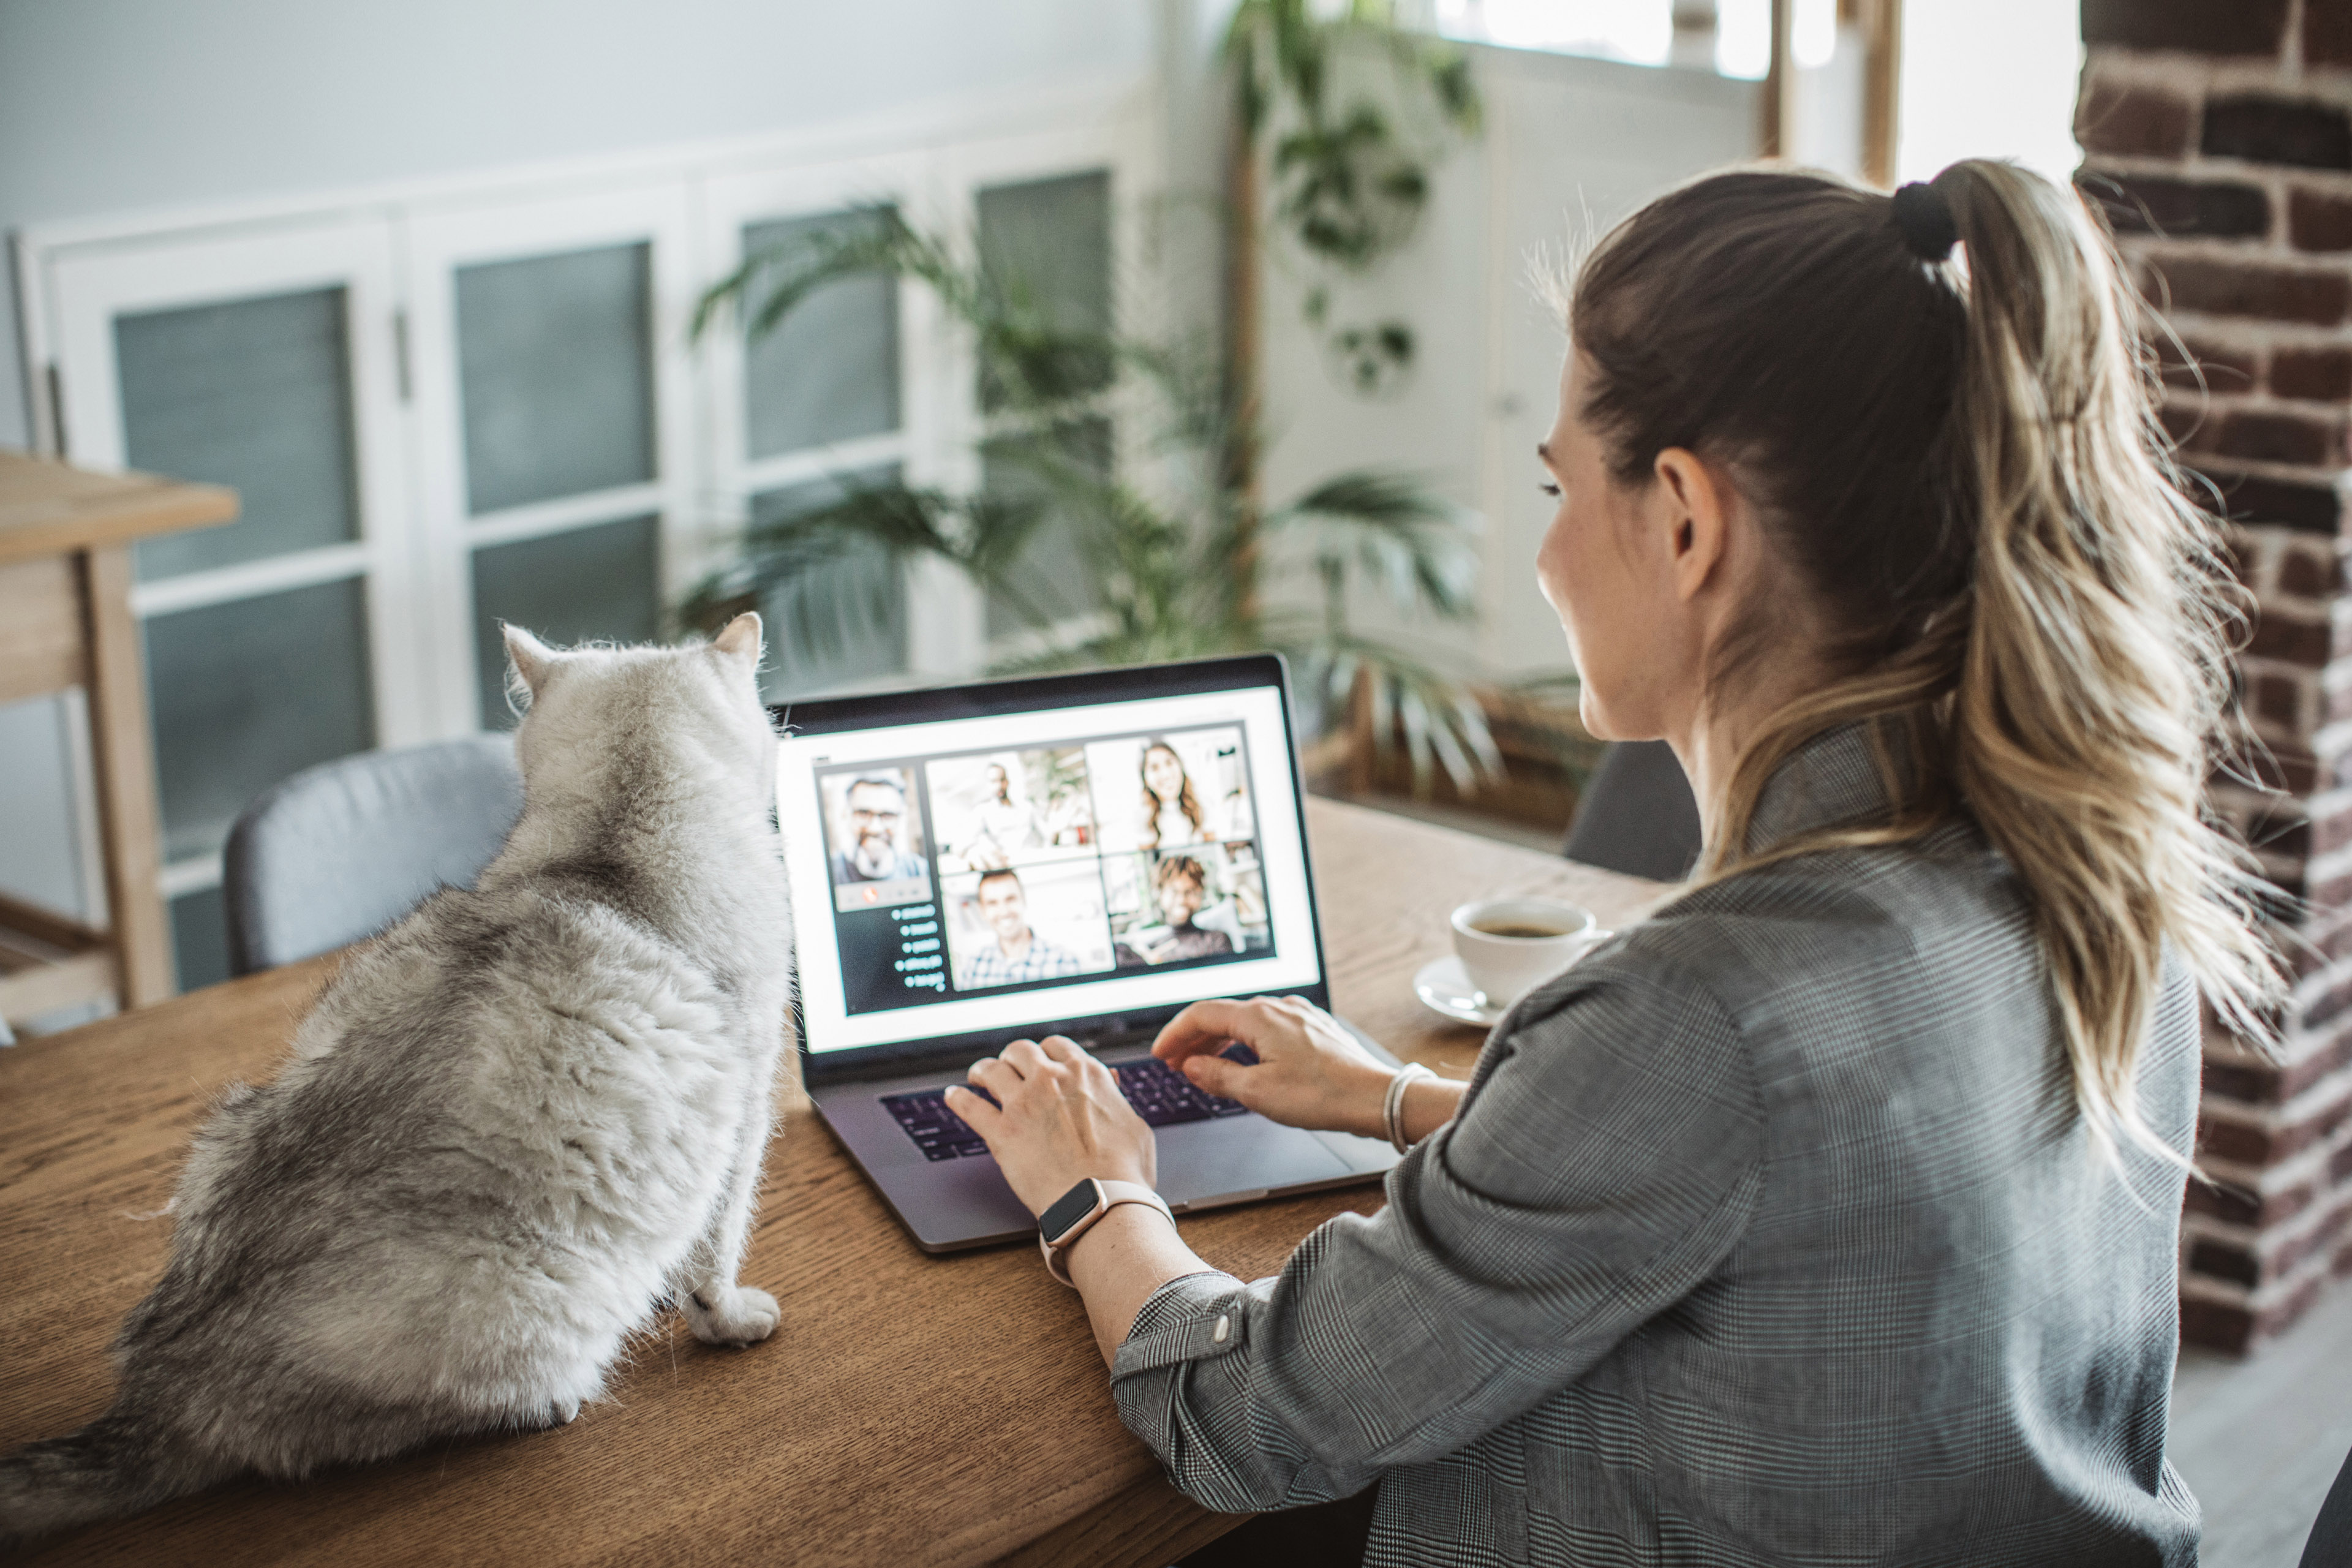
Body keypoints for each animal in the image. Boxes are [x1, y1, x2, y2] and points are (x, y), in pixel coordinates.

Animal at [0, 616, 794, 1542]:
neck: (612, 854)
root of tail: (166, 1392)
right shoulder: (742, 1114)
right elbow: (718, 1252)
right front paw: (727, 1319)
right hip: (534, 1293)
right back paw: (557, 1400)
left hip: (224, 1132)